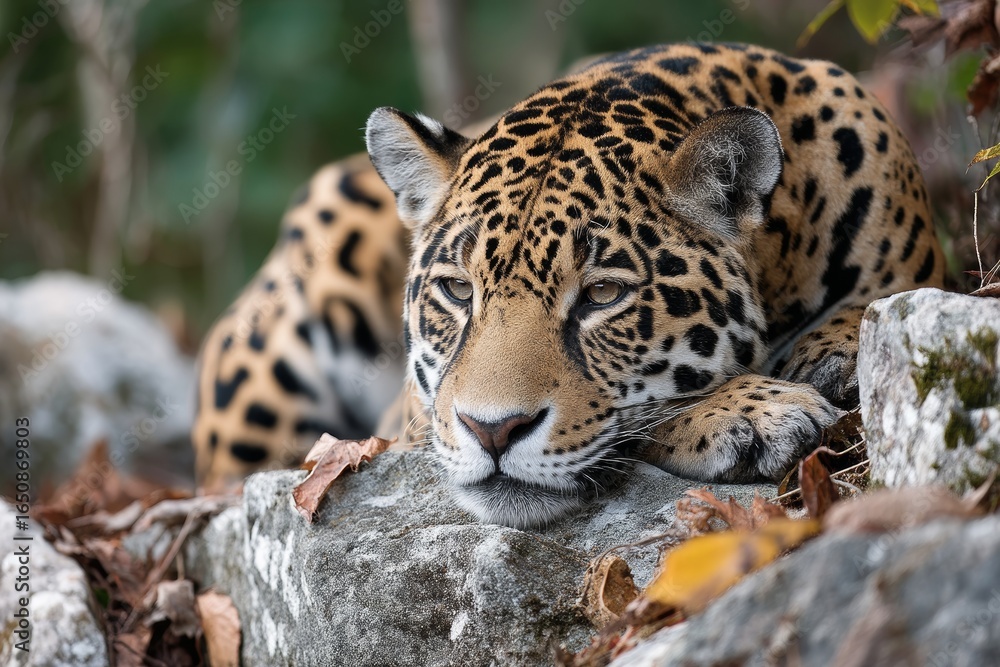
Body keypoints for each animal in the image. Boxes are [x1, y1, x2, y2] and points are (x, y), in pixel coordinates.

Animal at [192, 42, 944, 527]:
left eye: (602, 296)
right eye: (458, 292)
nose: (492, 431)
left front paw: (834, 346)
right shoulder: (407, 423)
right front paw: (751, 411)